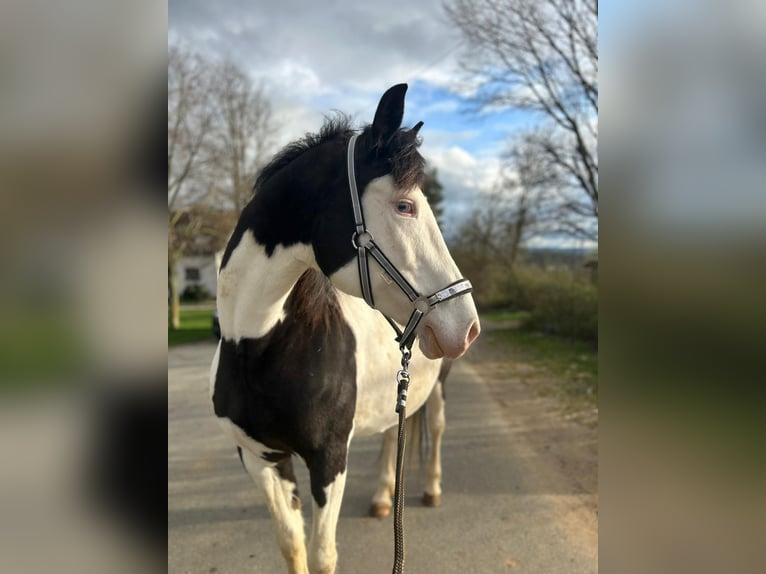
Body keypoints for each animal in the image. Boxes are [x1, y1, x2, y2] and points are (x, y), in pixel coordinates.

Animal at [210, 82, 480, 574]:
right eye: (404, 206)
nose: (466, 325)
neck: (258, 348)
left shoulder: (329, 460)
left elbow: (322, 555)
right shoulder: (260, 458)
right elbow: (291, 544)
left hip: (439, 386)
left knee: (435, 429)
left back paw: (431, 490)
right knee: (394, 435)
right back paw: (382, 499)